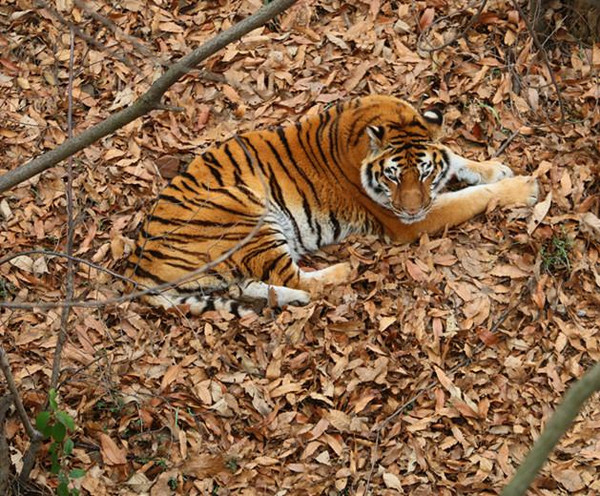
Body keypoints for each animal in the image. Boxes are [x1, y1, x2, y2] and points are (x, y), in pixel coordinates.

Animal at [127, 95, 540, 316]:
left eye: (423, 172)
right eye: (393, 177)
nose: (411, 209)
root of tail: (140, 266)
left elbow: (456, 159)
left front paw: (495, 167)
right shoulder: (405, 224)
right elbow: (470, 198)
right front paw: (525, 187)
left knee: (257, 284)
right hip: (245, 210)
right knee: (290, 276)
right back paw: (341, 272)